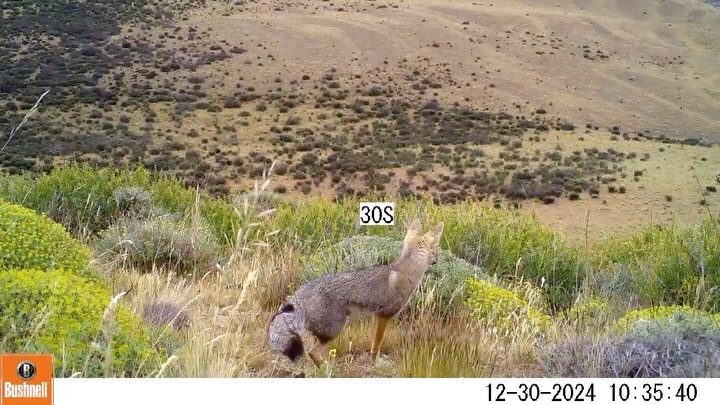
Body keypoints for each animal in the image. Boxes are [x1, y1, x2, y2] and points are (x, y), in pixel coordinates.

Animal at [267, 218, 444, 368]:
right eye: (436, 250)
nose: (437, 261)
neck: (406, 271)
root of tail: (301, 292)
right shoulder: (385, 315)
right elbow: (377, 344)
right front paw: (376, 364)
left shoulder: (376, 316)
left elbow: (373, 342)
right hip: (335, 329)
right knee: (312, 352)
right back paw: (329, 370)